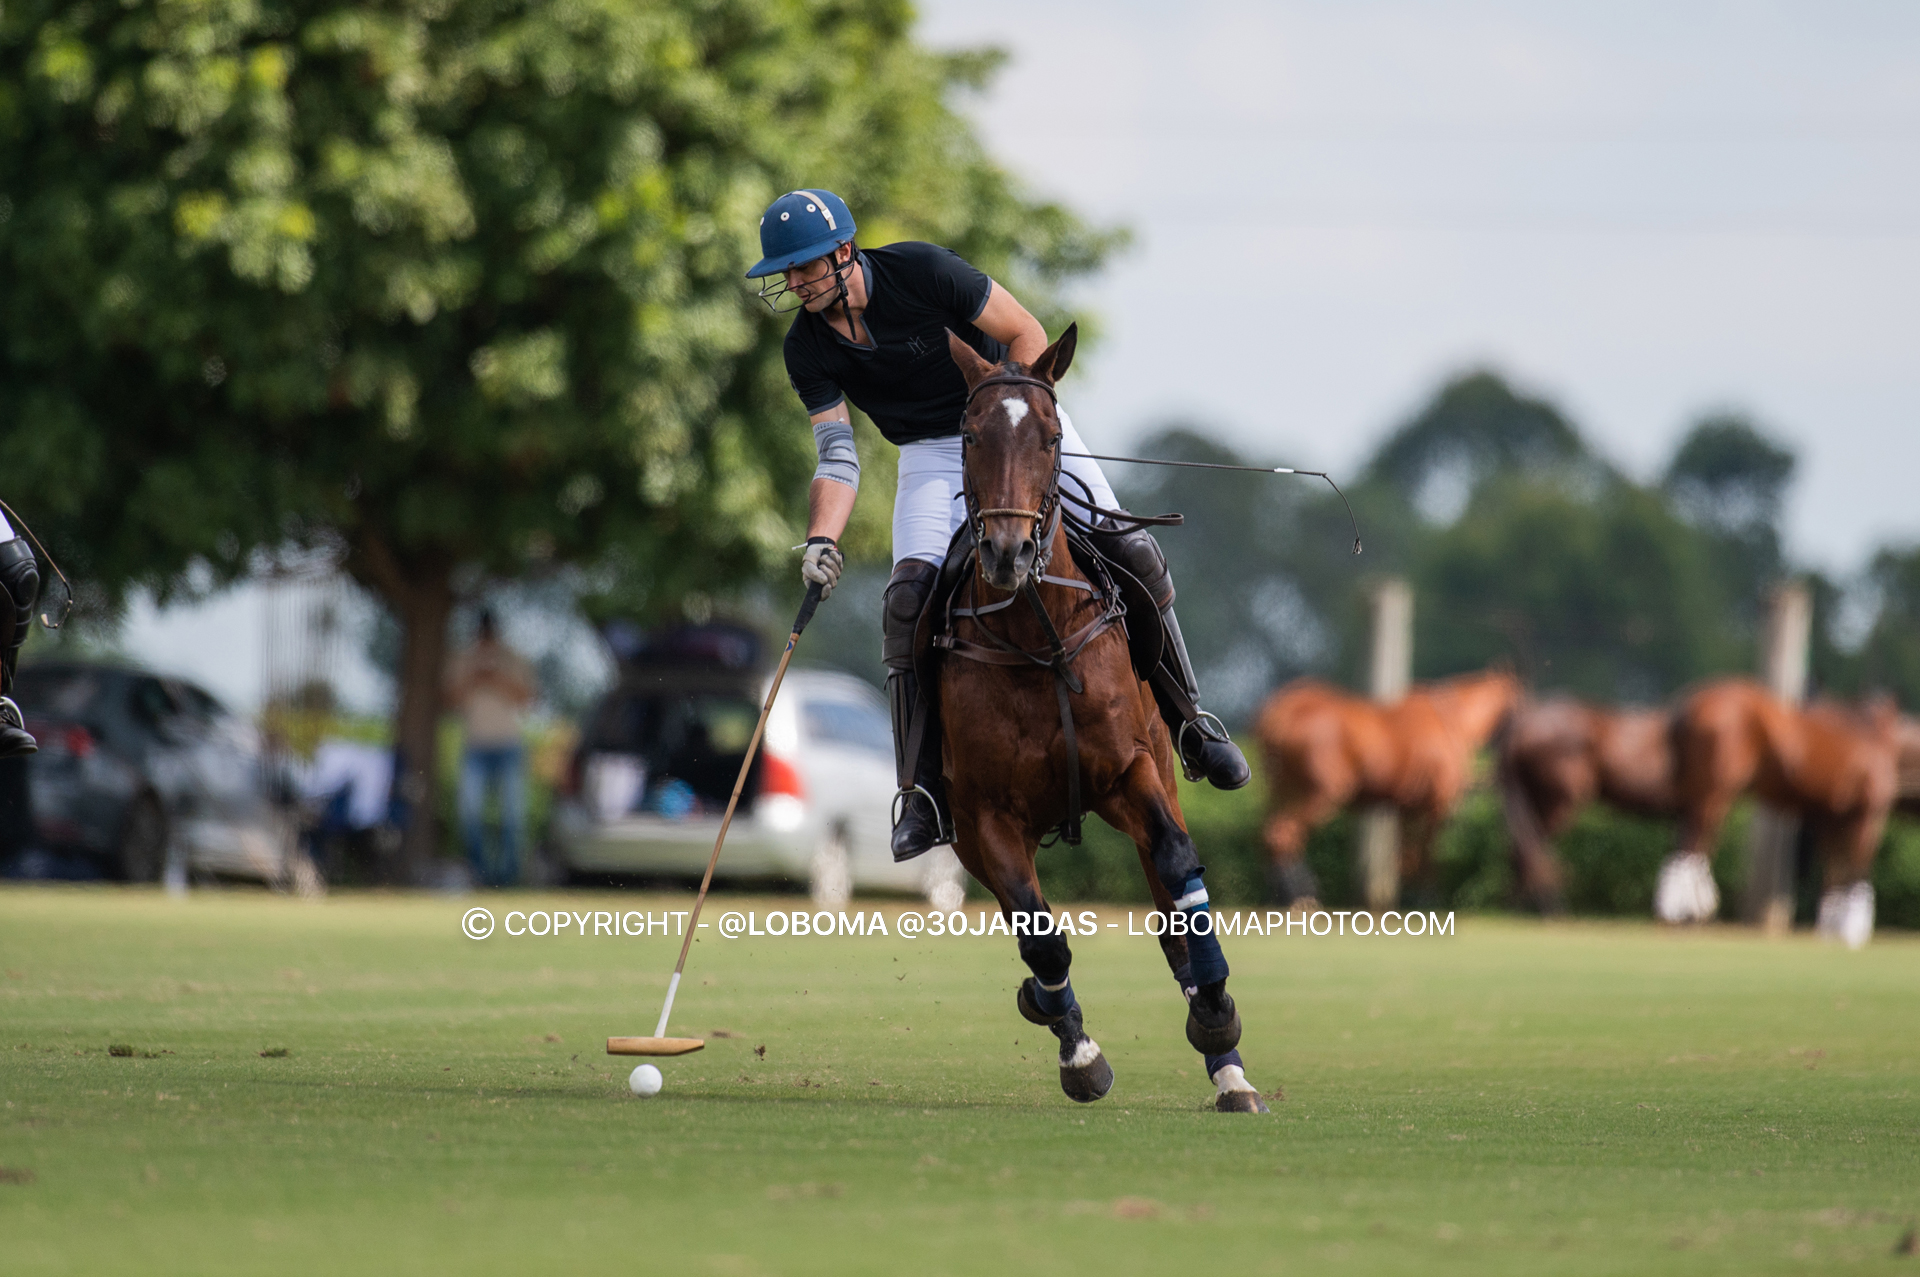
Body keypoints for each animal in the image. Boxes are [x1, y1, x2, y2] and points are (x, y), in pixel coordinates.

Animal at [936, 324, 1267, 1113]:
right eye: (969, 434)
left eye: (1052, 436)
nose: (1007, 553)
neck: (1038, 639)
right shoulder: (986, 815)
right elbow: (1041, 936)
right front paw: (1079, 1053)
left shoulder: (1129, 771)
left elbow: (1179, 871)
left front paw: (1217, 1015)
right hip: (970, 835)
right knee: (1034, 933)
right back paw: (1051, 1010)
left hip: (1159, 772)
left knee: (1174, 912)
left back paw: (1231, 1071)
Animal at [1251, 668, 1520, 906]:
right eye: (1519, 700)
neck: (1453, 721)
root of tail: (1285, 709)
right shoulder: (1436, 806)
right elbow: (1426, 854)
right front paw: (1427, 897)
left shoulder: (1407, 808)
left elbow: (1407, 857)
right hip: (1319, 794)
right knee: (1285, 833)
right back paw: (1301, 896)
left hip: (1282, 790)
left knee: (1271, 834)